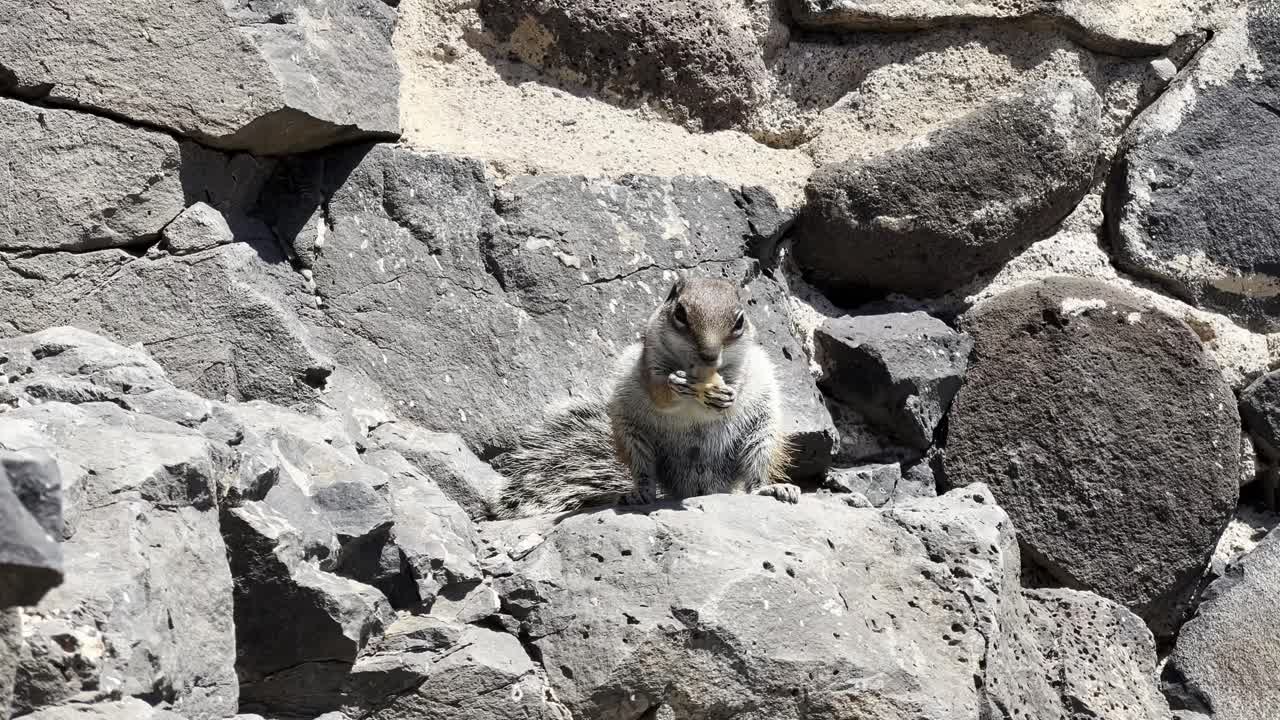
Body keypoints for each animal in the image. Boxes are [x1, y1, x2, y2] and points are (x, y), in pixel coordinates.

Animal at [493, 275, 798, 519]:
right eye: (680, 313)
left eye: (739, 321)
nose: (710, 356)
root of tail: (697, 487)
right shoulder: (647, 364)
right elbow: (659, 392)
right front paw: (675, 384)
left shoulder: (746, 366)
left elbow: (738, 382)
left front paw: (725, 395)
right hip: (634, 439)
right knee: (645, 474)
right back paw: (639, 494)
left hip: (762, 433)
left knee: (755, 472)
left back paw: (771, 488)